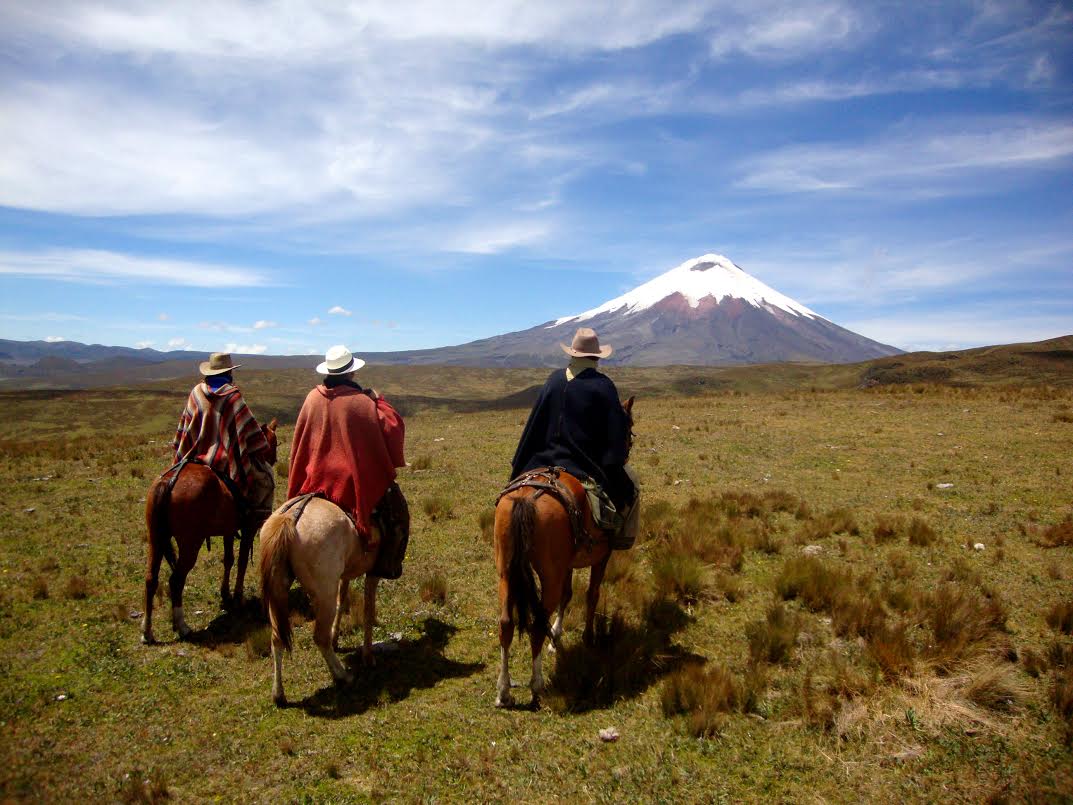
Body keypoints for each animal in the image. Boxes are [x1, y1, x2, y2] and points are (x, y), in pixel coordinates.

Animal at [141, 420, 278, 644]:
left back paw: (147, 631)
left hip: (156, 538)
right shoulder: (249, 528)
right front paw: (238, 596)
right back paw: (182, 627)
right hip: (190, 544)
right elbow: (241, 562)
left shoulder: (229, 531)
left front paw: (226, 594)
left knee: (151, 579)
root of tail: (167, 482)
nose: (273, 459)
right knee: (175, 581)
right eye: (274, 442)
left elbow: (228, 559)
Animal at [259, 496, 385, 707]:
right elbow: (368, 611)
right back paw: (343, 677)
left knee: (276, 638)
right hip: (325, 593)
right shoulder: (373, 572)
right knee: (319, 637)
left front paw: (337, 638)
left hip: (277, 594)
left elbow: (342, 600)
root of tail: (289, 518)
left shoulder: (344, 575)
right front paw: (368, 657)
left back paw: (278, 694)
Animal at [492, 397, 635, 708]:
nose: (629, 446)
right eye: (629, 425)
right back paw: (536, 685)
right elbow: (591, 594)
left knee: (506, 623)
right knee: (536, 624)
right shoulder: (601, 558)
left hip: (507, 571)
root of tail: (527, 497)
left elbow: (568, 595)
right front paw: (588, 638)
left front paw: (556, 637)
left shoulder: (566, 564)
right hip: (548, 574)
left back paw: (503, 690)